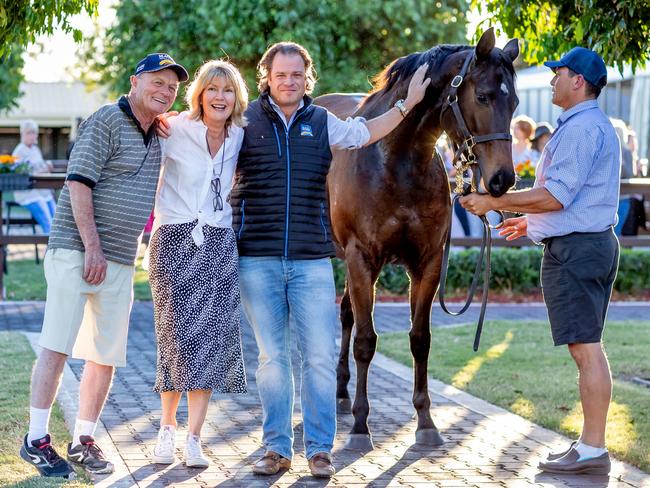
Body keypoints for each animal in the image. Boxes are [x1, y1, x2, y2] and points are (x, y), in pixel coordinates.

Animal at [314, 27, 516, 450]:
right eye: (484, 96)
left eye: (515, 101)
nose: (502, 179)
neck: (396, 160)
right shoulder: (362, 259)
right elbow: (366, 341)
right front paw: (361, 427)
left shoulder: (428, 263)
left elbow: (420, 339)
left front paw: (425, 422)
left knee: (345, 313)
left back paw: (340, 392)